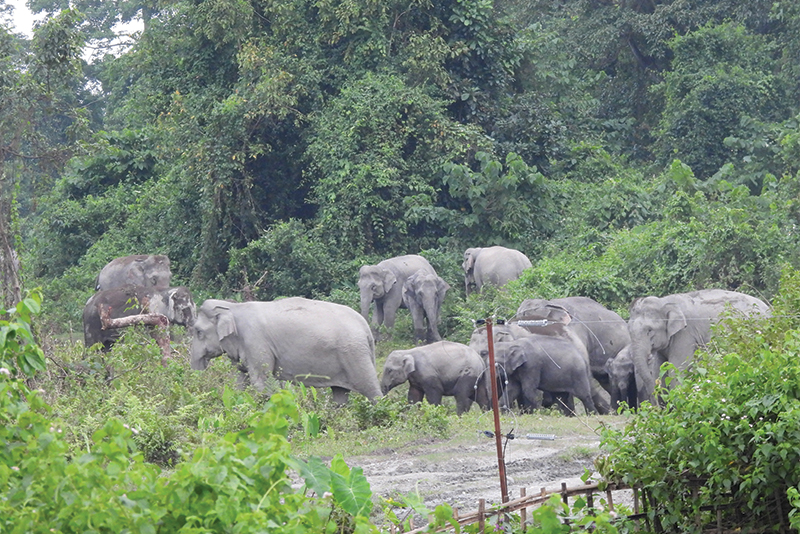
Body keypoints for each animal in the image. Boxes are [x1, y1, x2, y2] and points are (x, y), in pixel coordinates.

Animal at [190, 297, 382, 403]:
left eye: (198, 332)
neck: (234, 307)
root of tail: (365, 327)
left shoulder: (255, 342)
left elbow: (261, 382)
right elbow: (240, 381)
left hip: (354, 353)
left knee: (370, 388)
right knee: (340, 393)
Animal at [628, 289, 771, 405]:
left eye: (649, 330)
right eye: (629, 331)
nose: (656, 407)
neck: (664, 301)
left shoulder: (685, 335)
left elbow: (677, 369)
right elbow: (660, 369)